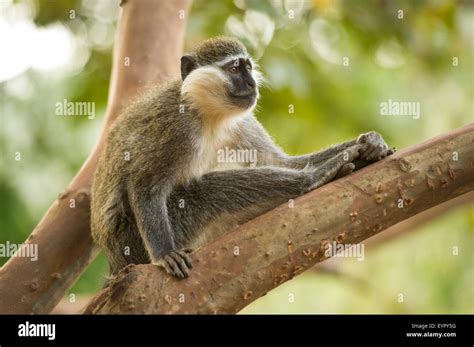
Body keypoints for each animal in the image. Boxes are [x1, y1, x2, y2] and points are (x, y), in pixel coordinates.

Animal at [90, 36, 394, 280]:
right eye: (234, 68)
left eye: (247, 67)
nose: (251, 83)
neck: (207, 114)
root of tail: (116, 263)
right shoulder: (175, 126)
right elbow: (145, 186)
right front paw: (165, 254)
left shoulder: (243, 123)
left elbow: (280, 162)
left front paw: (370, 142)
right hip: (138, 241)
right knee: (207, 191)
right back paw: (312, 179)